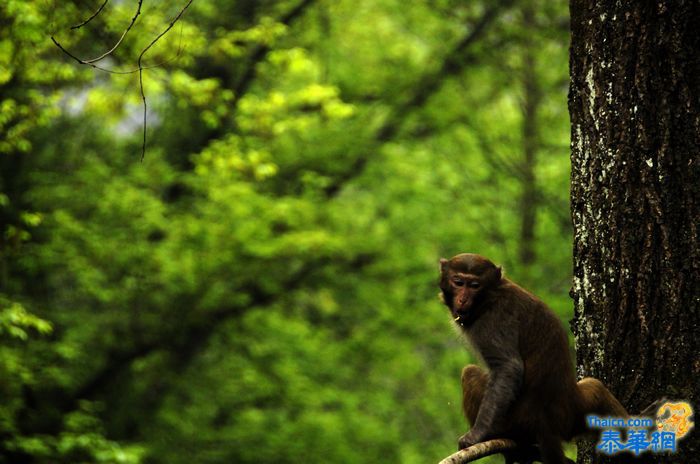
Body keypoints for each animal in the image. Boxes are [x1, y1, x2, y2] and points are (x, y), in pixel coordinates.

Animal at [438, 254, 628, 464]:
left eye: (474, 285)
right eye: (458, 282)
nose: (463, 299)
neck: (491, 295)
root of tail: (547, 426)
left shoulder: (492, 321)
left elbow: (508, 367)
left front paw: (477, 434)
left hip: (514, 424)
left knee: (470, 372)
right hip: (575, 414)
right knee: (595, 387)